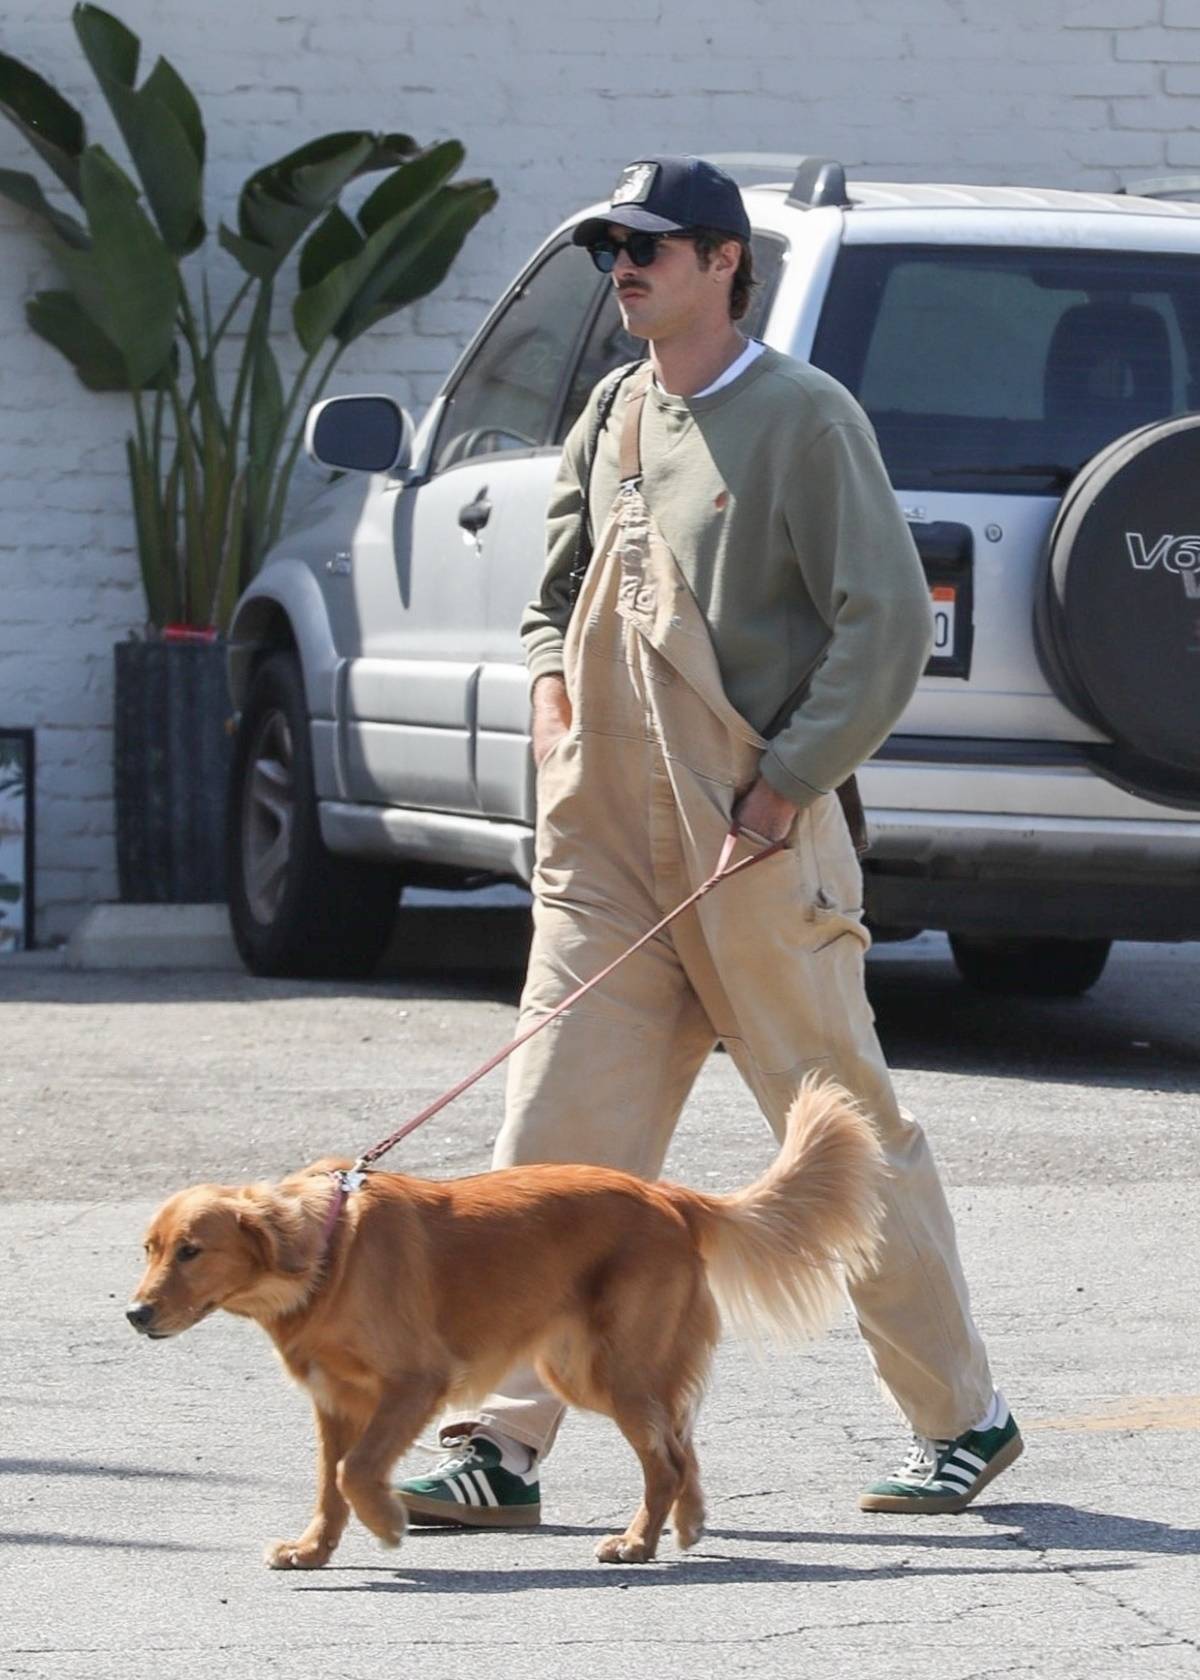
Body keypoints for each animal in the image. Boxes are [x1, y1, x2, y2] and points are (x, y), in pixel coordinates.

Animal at [128, 1081, 880, 1565]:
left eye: (192, 1251)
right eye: (150, 1249)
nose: (135, 1314)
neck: (329, 1250)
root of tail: (668, 1196)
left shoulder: (415, 1381)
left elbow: (356, 1471)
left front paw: (387, 1522)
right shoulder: (335, 1402)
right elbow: (329, 1481)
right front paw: (314, 1550)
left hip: (616, 1368)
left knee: (665, 1458)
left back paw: (638, 1542)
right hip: (586, 1371)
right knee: (681, 1442)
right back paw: (686, 1524)